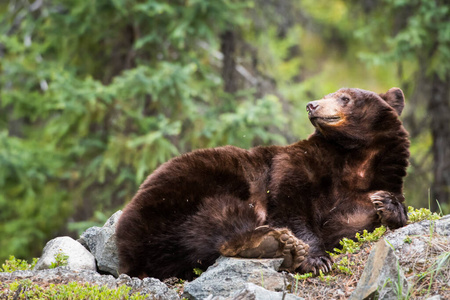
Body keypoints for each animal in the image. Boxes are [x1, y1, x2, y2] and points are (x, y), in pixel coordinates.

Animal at [115, 87, 408, 282]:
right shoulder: (294, 165)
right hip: (183, 194)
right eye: (329, 94)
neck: (353, 159)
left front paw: (387, 205)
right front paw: (317, 259)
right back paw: (273, 243)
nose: (312, 105)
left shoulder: (364, 187)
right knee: (216, 218)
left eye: (344, 97)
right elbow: (291, 205)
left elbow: (353, 221)